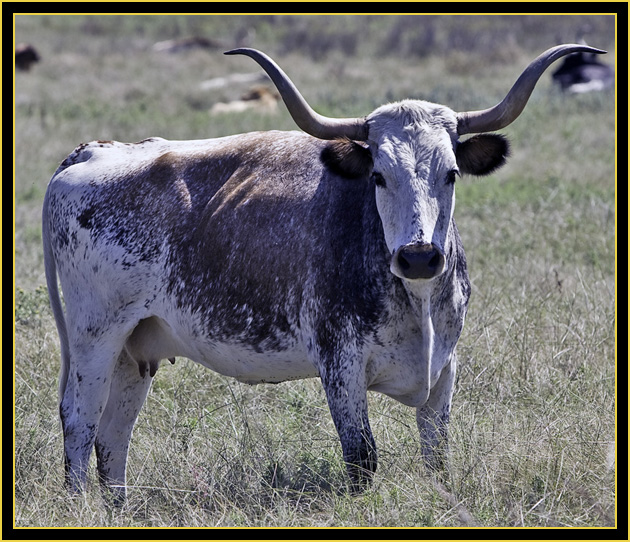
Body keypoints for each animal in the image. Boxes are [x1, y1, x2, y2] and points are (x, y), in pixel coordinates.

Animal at [42, 44, 604, 504]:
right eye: (378, 175)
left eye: (450, 173)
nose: (419, 256)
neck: (418, 299)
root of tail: (95, 151)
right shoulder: (340, 366)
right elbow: (362, 459)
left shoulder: (445, 369)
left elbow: (437, 459)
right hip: (95, 334)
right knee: (79, 419)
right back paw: (79, 507)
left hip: (135, 347)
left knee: (113, 434)